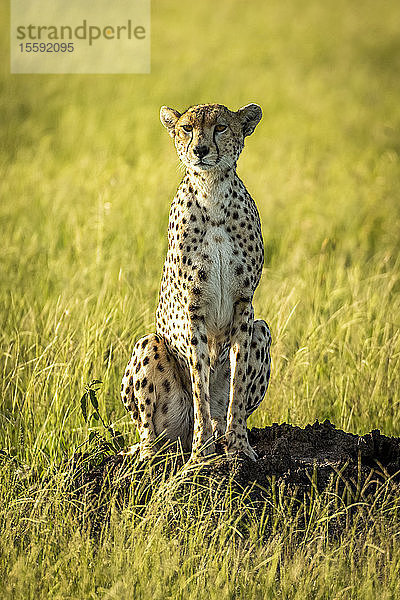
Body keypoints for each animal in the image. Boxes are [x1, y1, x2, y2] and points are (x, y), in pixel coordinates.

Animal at [121, 102, 272, 460]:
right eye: (187, 128)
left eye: (220, 127)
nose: (200, 150)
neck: (212, 190)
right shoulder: (193, 306)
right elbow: (199, 378)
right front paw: (201, 454)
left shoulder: (244, 305)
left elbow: (238, 384)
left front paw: (238, 446)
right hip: (149, 347)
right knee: (149, 433)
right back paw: (152, 456)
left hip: (262, 329)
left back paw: (220, 436)